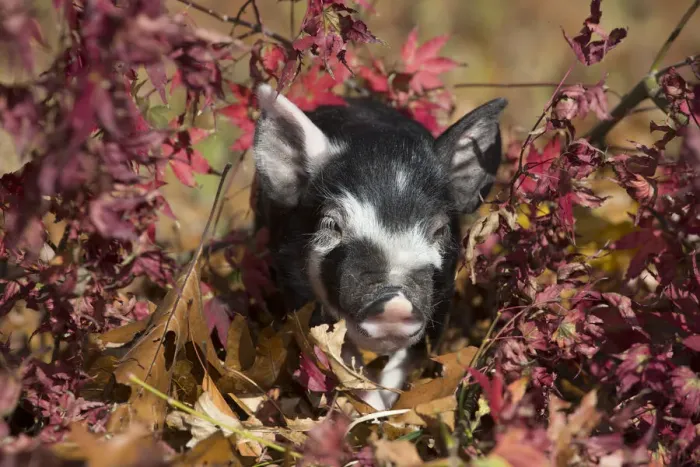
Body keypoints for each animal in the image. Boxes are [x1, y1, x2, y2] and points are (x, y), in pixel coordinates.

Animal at [252, 83, 507, 410]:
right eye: (332, 225)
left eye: (439, 230)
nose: (394, 300)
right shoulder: (297, 291)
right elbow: (344, 360)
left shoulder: (442, 303)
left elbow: (401, 364)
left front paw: (386, 411)